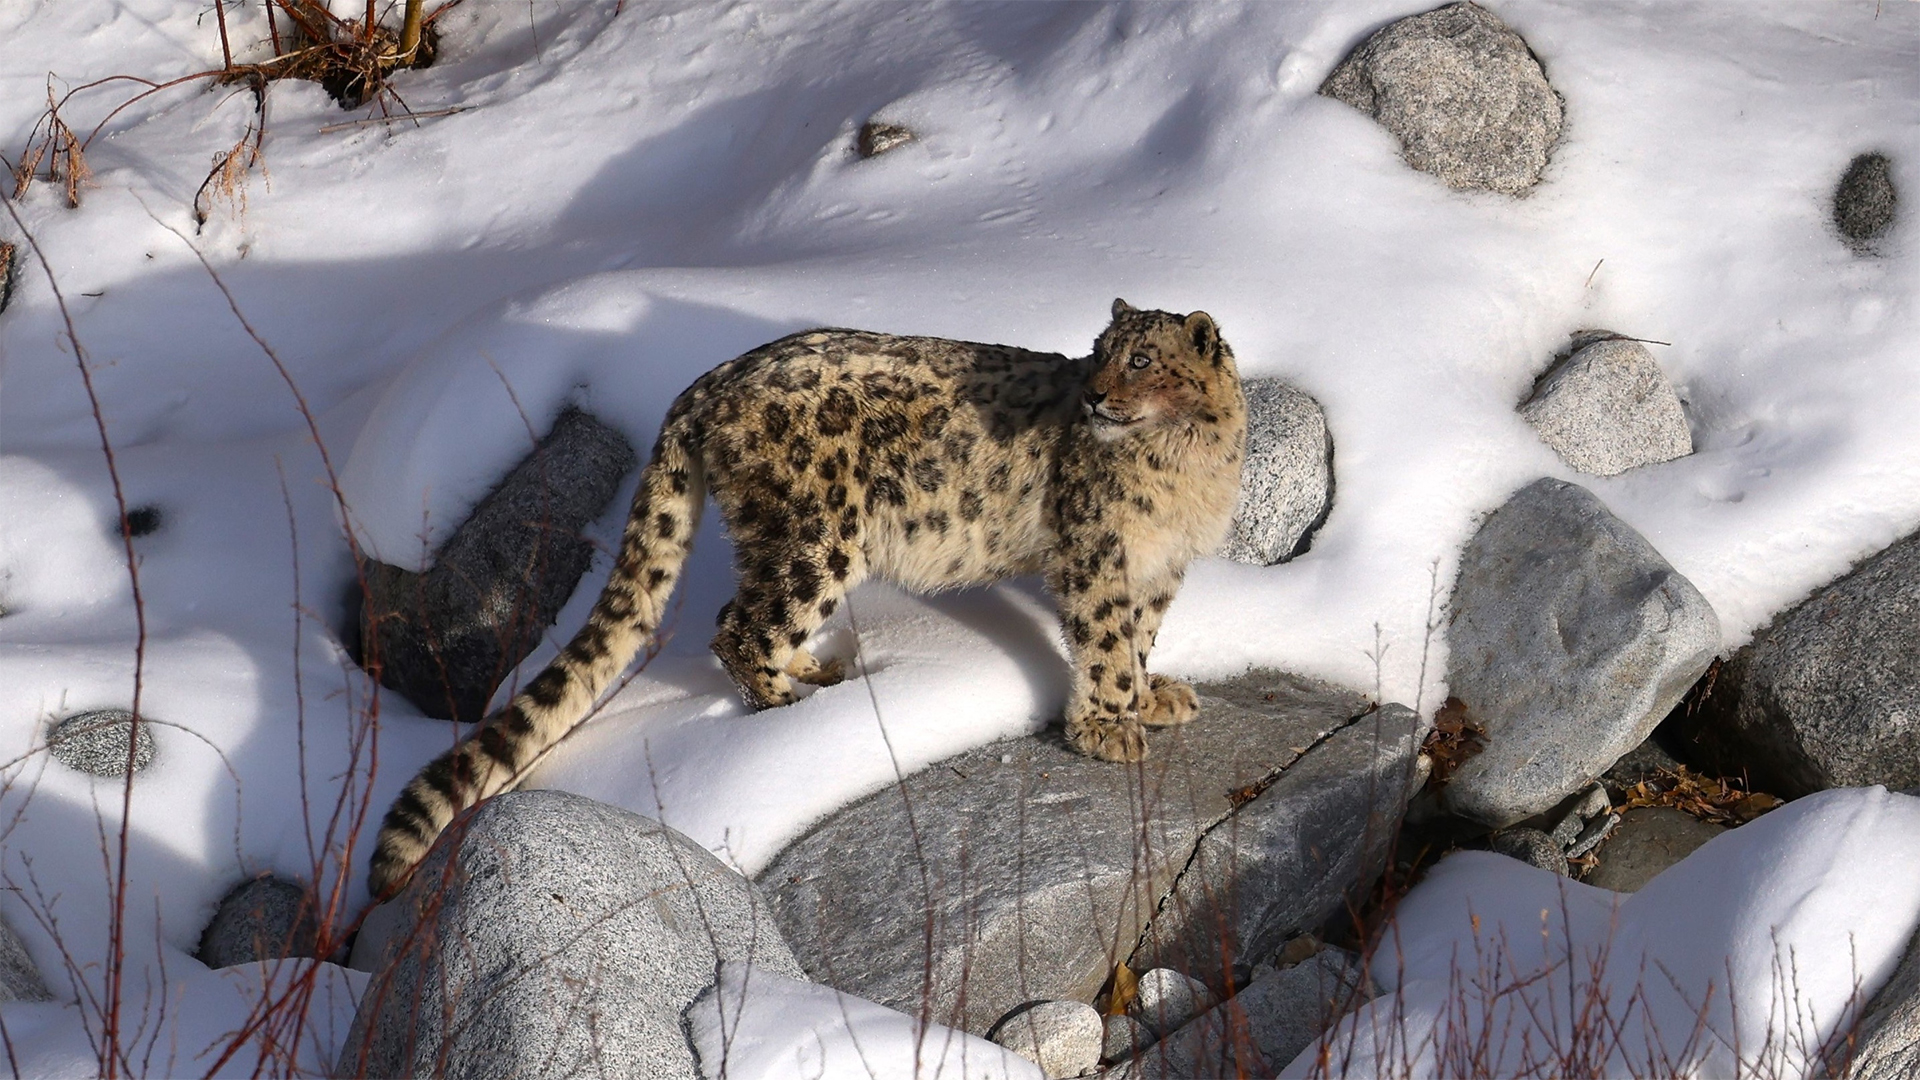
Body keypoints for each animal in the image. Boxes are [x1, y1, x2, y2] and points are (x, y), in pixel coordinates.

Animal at [368, 299, 1247, 898]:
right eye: (1100, 353)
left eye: (1141, 358)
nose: (1095, 395)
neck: (1185, 475)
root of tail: (709, 383)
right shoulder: (1096, 555)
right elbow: (1103, 639)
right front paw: (1108, 727)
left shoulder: (1159, 568)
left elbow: (1139, 635)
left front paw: (1153, 695)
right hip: (816, 538)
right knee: (738, 625)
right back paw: (786, 703)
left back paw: (815, 672)